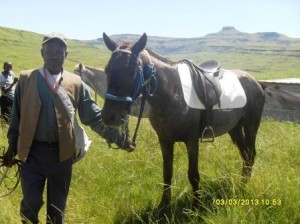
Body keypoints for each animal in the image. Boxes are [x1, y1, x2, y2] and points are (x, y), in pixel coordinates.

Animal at [100, 32, 274, 207]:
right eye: (107, 70)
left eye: (132, 71)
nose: (108, 116)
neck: (172, 95)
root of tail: (255, 81)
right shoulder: (165, 140)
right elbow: (167, 172)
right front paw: (164, 204)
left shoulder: (192, 141)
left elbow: (193, 174)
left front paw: (197, 205)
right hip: (235, 129)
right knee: (245, 155)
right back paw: (241, 184)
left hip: (251, 126)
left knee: (250, 154)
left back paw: (242, 187)